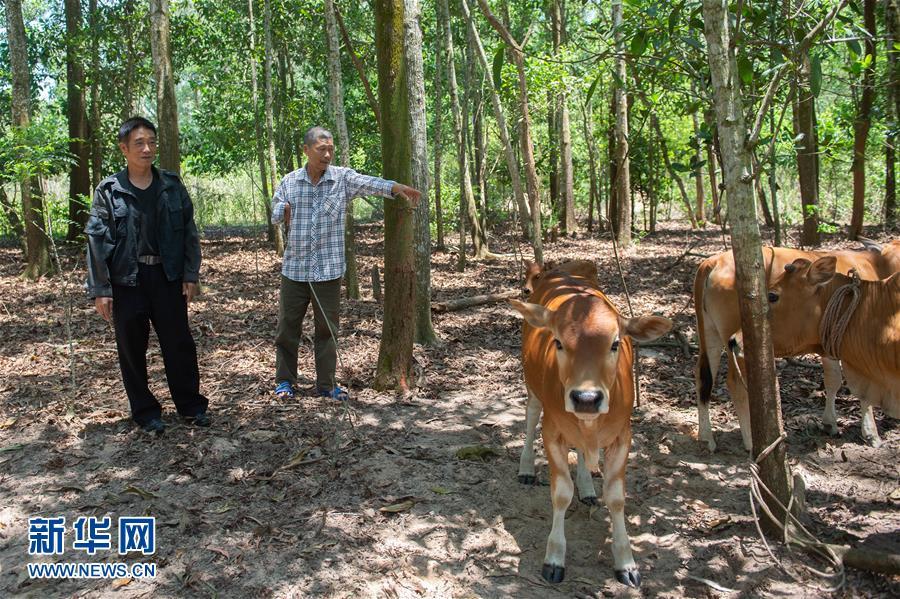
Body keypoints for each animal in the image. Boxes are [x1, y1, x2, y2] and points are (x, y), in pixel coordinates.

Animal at [510, 270, 672, 584]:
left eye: (615, 343)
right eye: (558, 342)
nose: (586, 398)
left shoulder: (623, 435)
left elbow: (616, 498)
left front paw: (626, 563)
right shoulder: (552, 431)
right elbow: (561, 493)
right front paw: (554, 559)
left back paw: (586, 489)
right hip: (531, 386)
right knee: (531, 416)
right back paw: (526, 469)